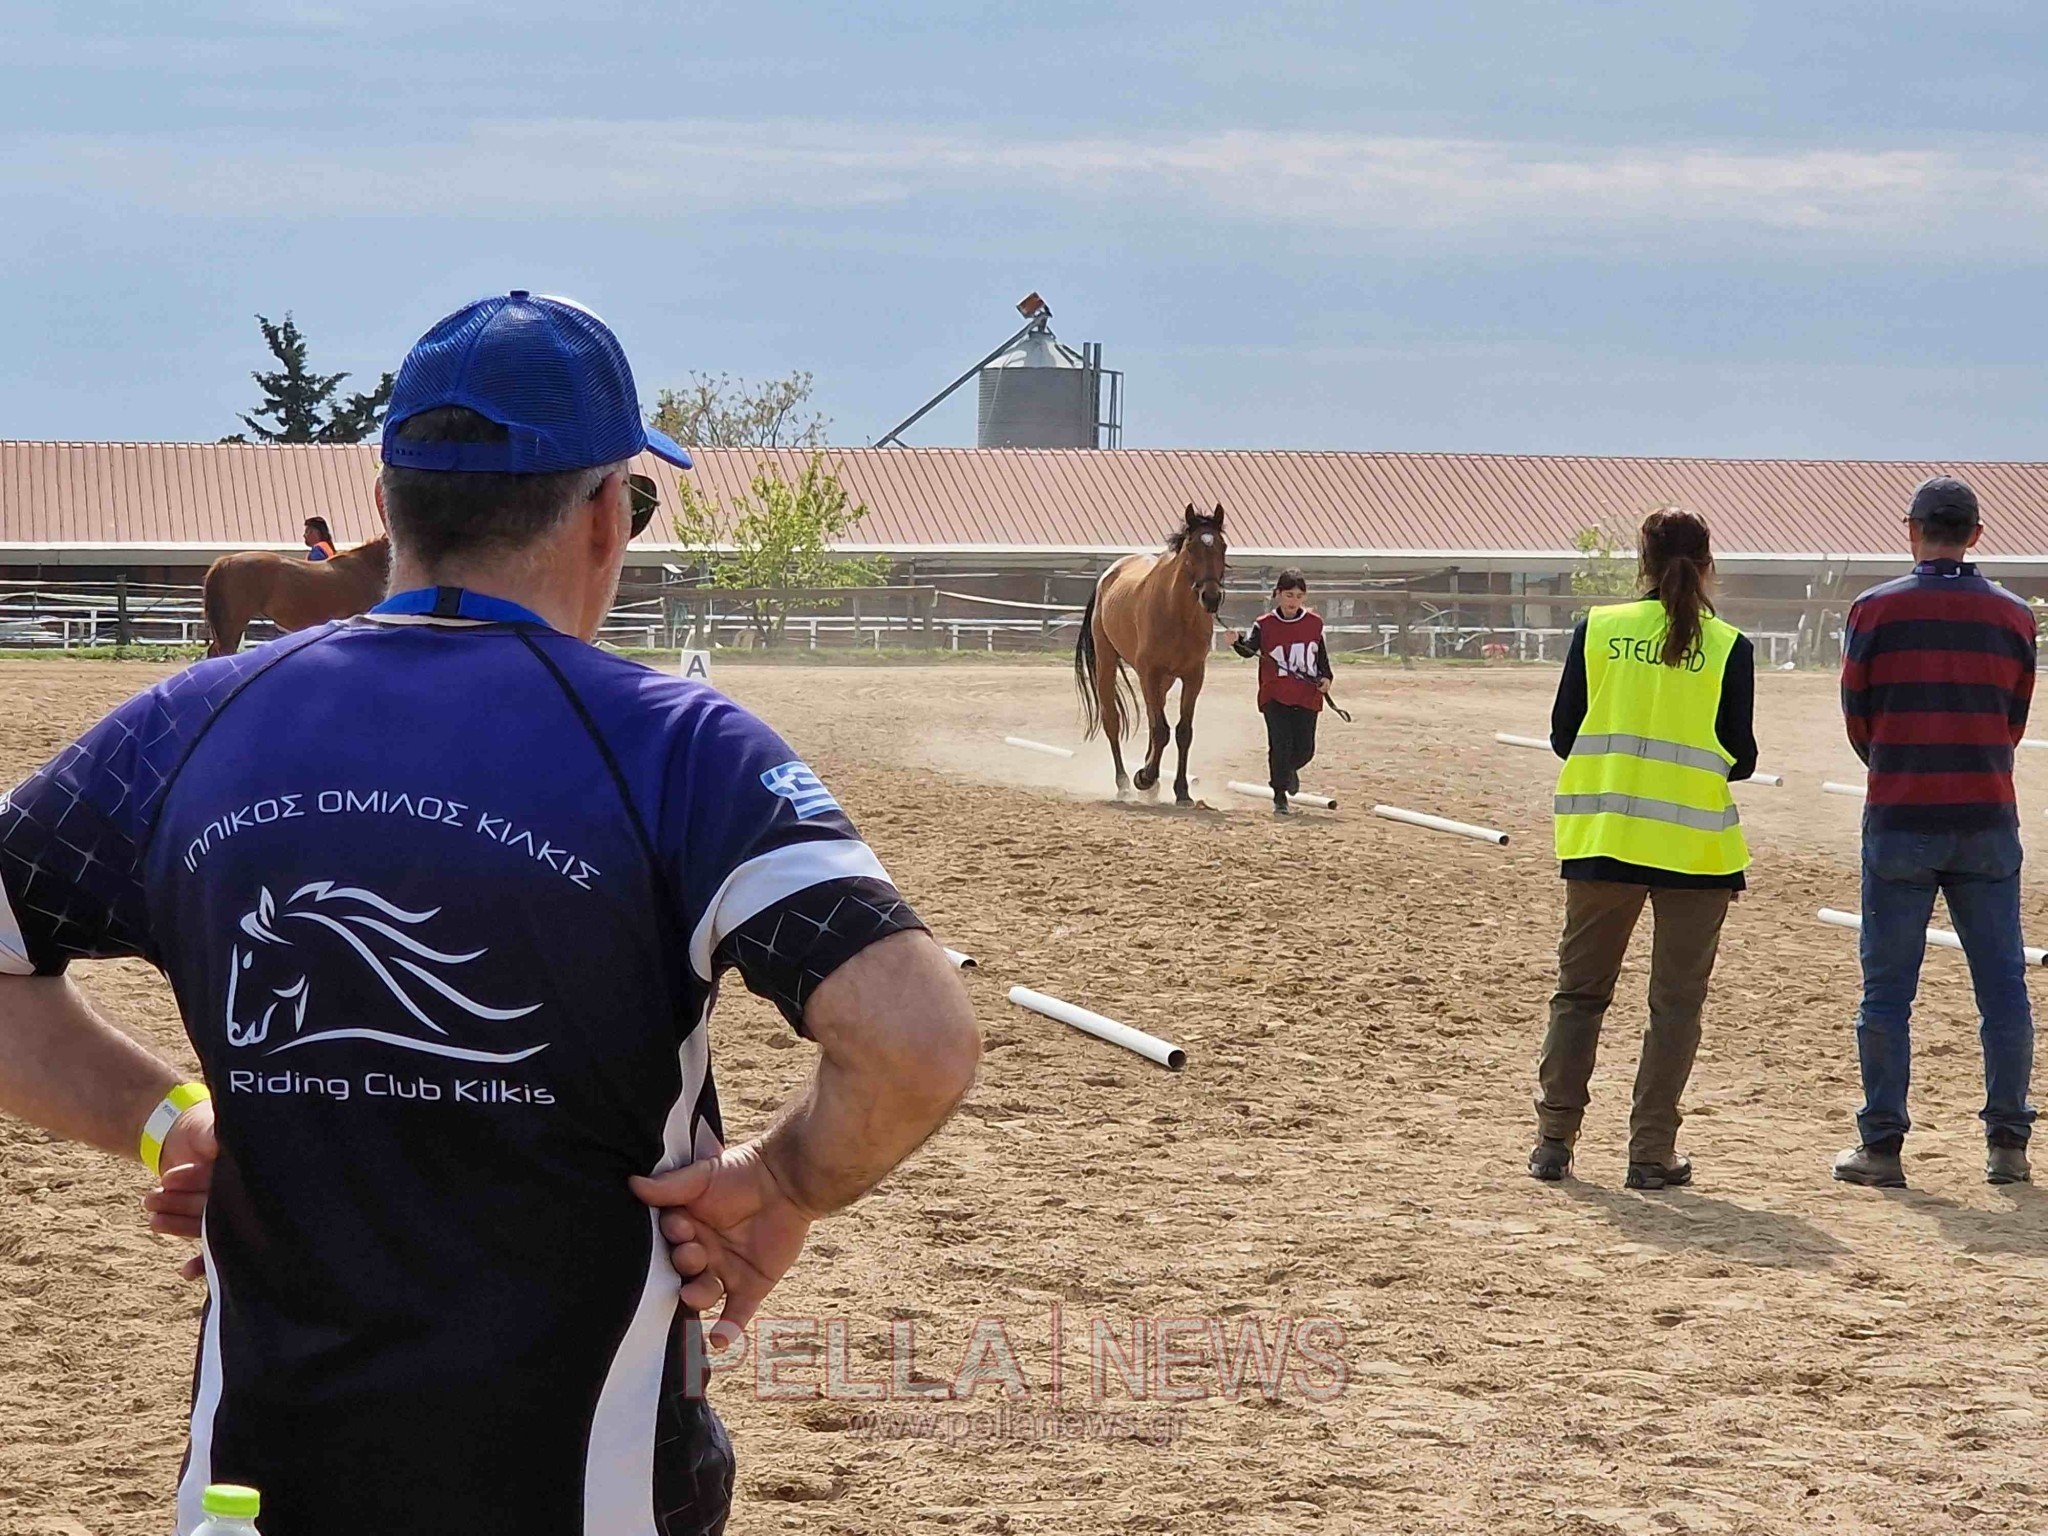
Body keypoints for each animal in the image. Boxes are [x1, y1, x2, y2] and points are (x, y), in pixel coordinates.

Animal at [1081, 505, 1220, 806]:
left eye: (1222, 546)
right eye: (1191, 548)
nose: (1212, 597)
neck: (1177, 612)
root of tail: (1107, 576)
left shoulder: (1193, 676)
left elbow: (1182, 732)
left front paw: (1181, 791)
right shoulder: (1150, 673)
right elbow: (1161, 729)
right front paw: (1144, 778)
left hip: (1164, 681)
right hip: (1108, 662)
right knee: (1113, 720)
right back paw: (1124, 783)